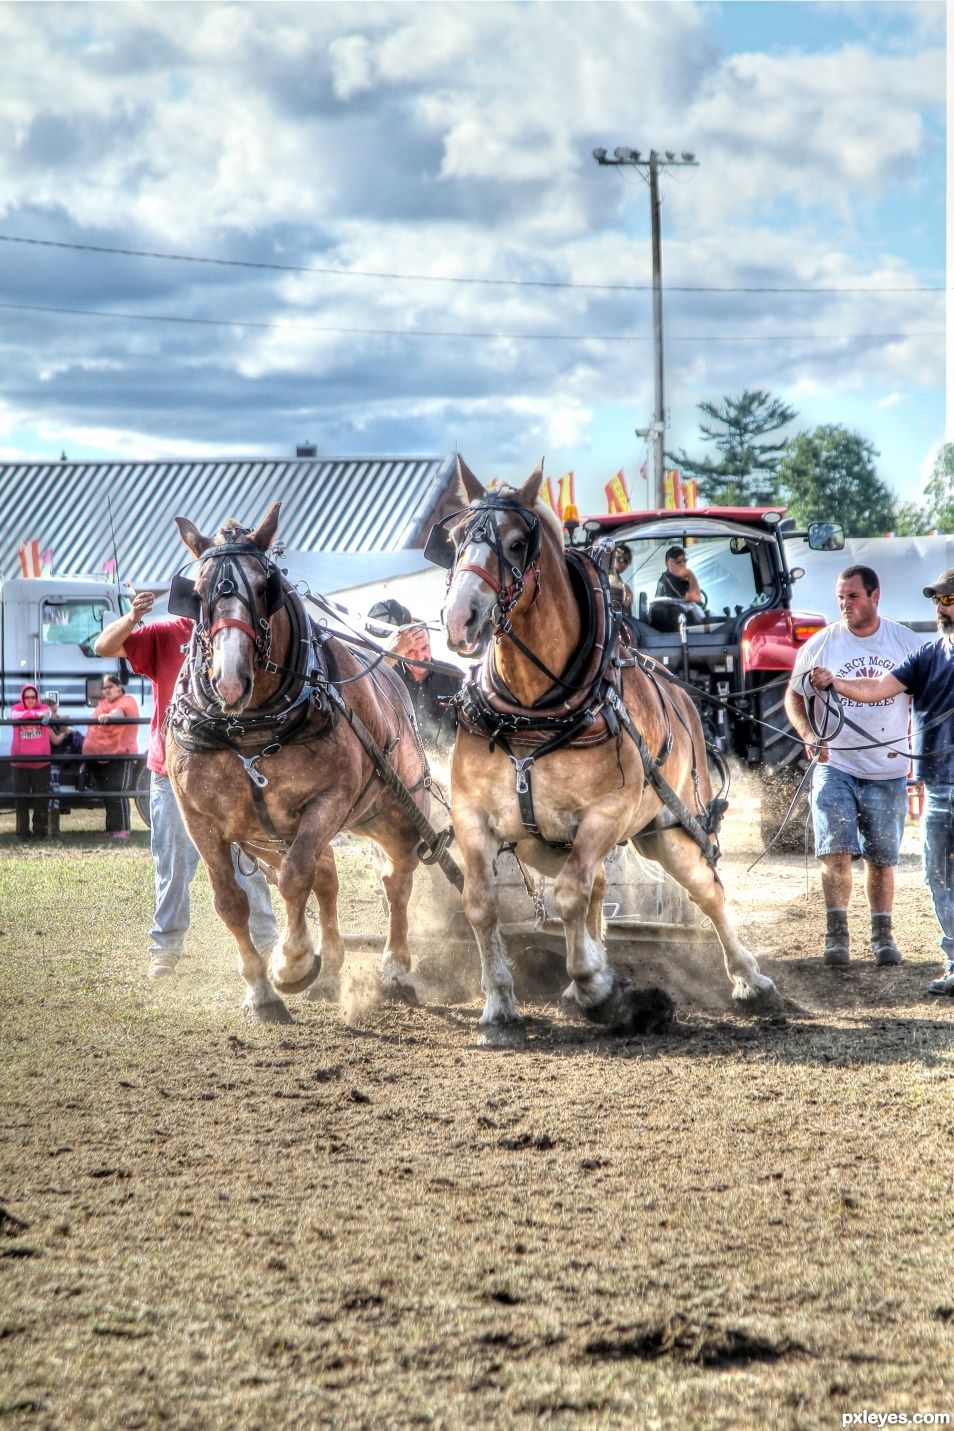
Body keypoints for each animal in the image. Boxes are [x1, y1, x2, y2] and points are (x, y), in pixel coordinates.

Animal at [167, 503, 429, 1018]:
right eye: (199, 594)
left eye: (263, 587)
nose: (230, 681)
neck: (249, 733)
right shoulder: (197, 817)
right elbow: (230, 902)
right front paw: (260, 989)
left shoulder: (329, 800)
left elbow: (294, 881)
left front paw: (290, 963)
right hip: (272, 836)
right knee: (326, 879)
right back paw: (330, 967)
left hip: (394, 813)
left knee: (395, 881)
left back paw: (394, 968)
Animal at [437, 463, 778, 1047]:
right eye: (457, 539)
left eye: (517, 543)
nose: (461, 619)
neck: (532, 711)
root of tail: (686, 696)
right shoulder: (472, 815)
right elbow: (481, 905)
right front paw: (500, 1005)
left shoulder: (605, 815)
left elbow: (570, 897)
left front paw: (595, 987)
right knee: (597, 888)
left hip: (668, 830)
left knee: (706, 891)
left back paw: (750, 980)